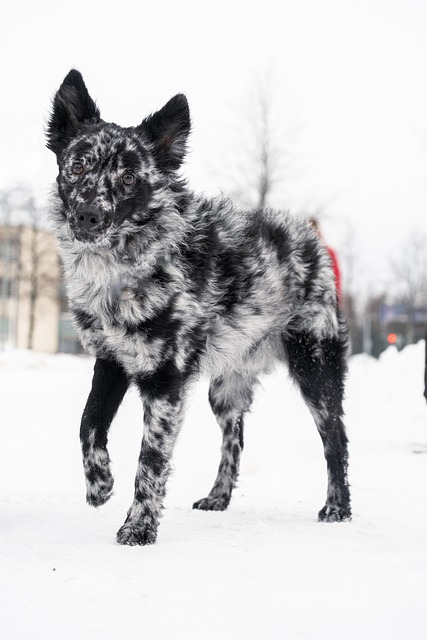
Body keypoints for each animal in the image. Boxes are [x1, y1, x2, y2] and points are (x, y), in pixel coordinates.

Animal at [46, 70, 352, 544]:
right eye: (77, 165)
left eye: (130, 178)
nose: (88, 217)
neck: (125, 267)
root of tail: (308, 236)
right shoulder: (111, 360)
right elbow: (88, 423)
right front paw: (99, 484)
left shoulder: (165, 381)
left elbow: (151, 461)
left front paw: (139, 528)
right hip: (224, 389)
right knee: (235, 437)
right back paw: (218, 497)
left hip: (315, 368)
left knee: (335, 438)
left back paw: (338, 506)